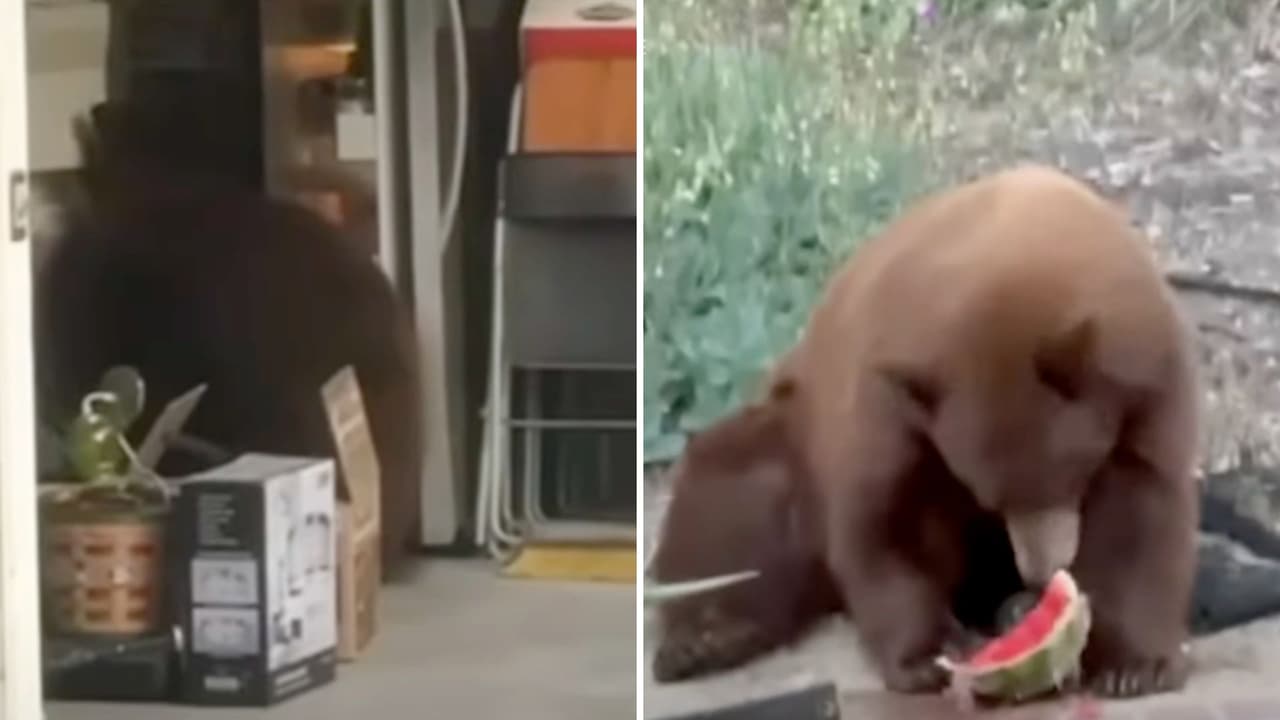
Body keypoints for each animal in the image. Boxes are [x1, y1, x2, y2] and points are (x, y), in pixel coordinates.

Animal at [650, 165, 1201, 699]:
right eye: (990, 496)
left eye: (1068, 475)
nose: (1042, 571)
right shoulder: (893, 405)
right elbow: (888, 521)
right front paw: (927, 655)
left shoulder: (1149, 387)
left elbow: (1140, 512)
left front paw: (1135, 666)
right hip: (784, 434)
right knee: (736, 500)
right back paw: (702, 639)